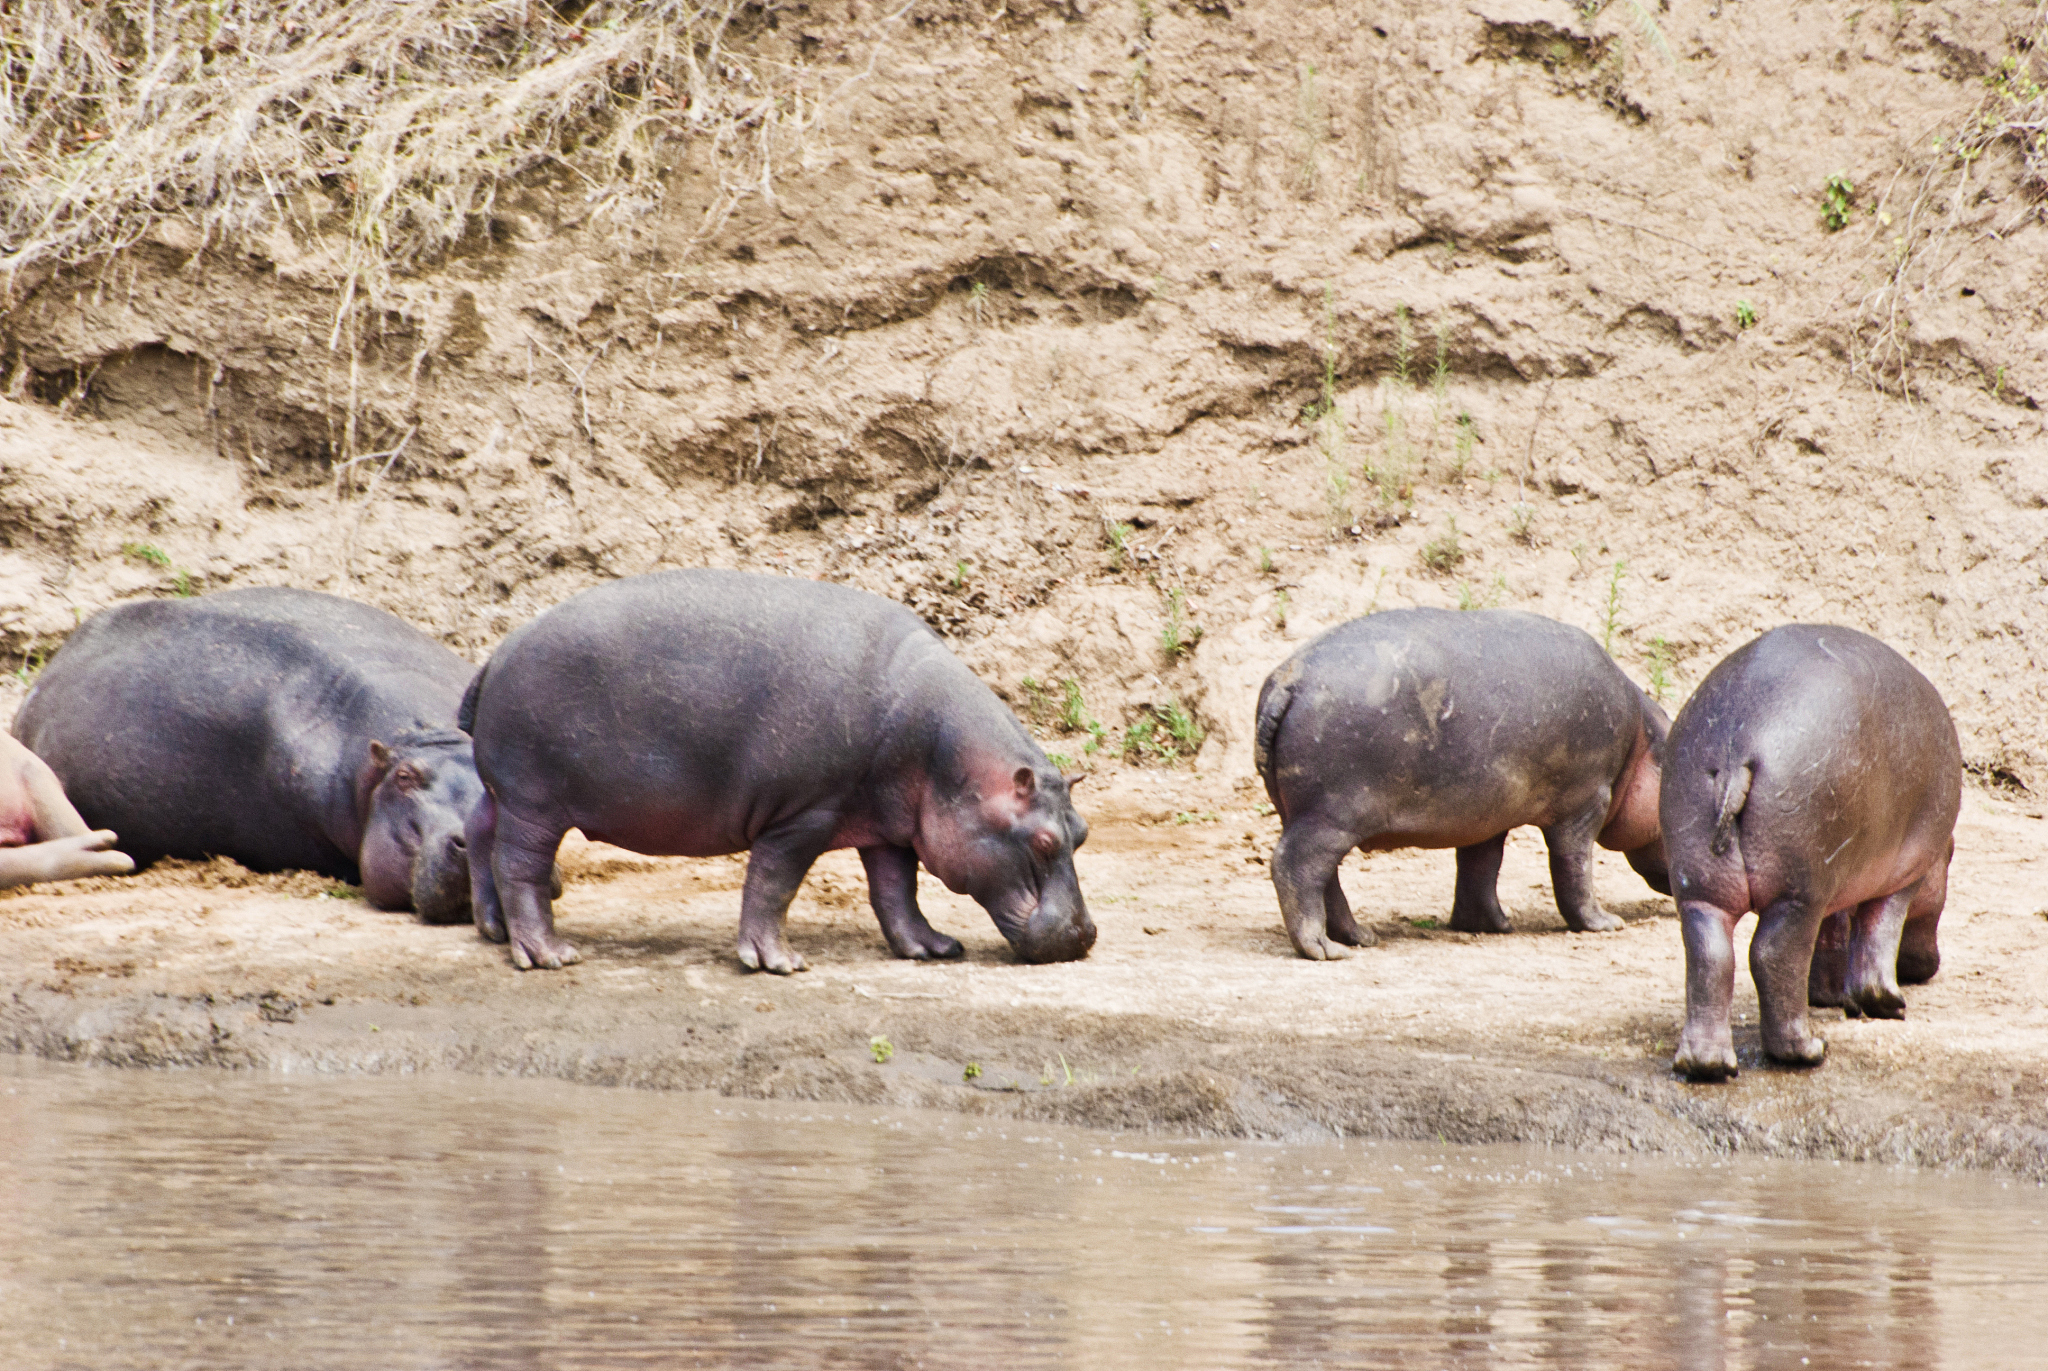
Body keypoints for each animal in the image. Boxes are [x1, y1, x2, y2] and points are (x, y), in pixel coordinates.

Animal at [458, 568, 1095, 973]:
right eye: (1042, 841)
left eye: (1083, 832)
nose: (1085, 934)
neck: (945, 755)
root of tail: (499, 651)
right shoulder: (803, 815)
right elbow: (773, 883)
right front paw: (777, 963)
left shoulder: (890, 826)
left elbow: (897, 892)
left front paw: (934, 948)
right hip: (534, 802)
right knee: (519, 867)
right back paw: (548, 955)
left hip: (503, 793)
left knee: (479, 830)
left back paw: (493, 932)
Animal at [1254, 608, 1669, 960]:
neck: (1641, 740)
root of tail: (1288, 681)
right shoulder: (1586, 802)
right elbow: (1574, 867)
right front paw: (1606, 924)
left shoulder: (1488, 814)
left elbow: (1480, 867)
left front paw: (1491, 925)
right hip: (1331, 814)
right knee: (1295, 864)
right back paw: (1325, 949)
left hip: (1306, 813)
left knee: (1327, 877)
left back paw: (1362, 937)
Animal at [1665, 625, 1960, 1081]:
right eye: (1951, 860)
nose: (1926, 968)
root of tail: (1736, 748)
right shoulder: (1905, 874)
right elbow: (1877, 934)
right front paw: (1886, 1004)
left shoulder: (1838, 879)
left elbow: (1832, 934)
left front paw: (1828, 997)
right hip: (1797, 892)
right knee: (1772, 955)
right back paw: (1807, 1051)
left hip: (1700, 885)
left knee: (1709, 956)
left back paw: (1708, 1065)